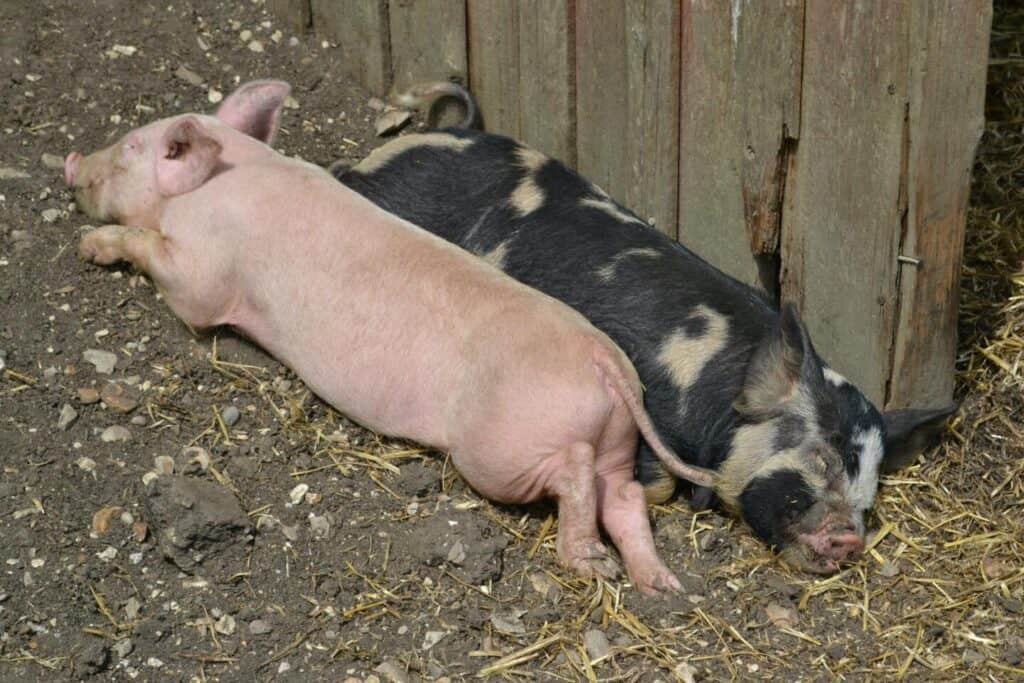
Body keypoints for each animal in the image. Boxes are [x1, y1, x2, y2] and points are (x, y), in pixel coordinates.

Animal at [64, 80, 719, 595]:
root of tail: (604, 361)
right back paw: (661, 586)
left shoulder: (203, 276)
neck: (218, 179)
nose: (71, 160)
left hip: (499, 453)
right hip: (614, 443)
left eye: (129, 150)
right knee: (624, 497)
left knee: (574, 475)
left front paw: (91, 247)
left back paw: (593, 566)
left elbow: (167, 269)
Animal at [332, 83, 956, 574]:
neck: (713, 384)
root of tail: (429, 140)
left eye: (871, 493)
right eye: (822, 458)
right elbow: (653, 483)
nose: (850, 538)